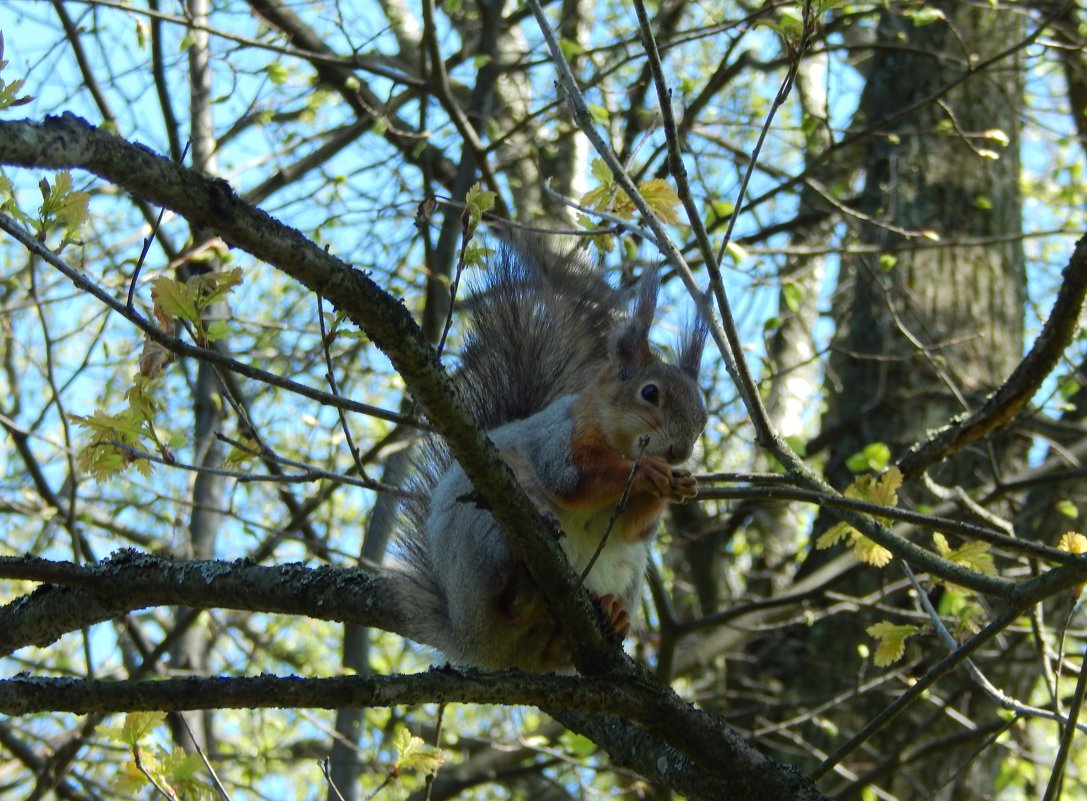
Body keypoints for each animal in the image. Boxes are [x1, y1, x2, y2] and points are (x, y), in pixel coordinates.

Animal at [386, 243, 708, 669]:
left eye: (703, 415)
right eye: (650, 392)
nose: (681, 450)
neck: (617, 441)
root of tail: (470, 639)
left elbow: (631, 529)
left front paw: (678, 484)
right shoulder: (556, 439)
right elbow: (571, 480)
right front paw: (646, 470)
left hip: (628, 571)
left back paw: (611, 614)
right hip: (485, 530)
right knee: (509, 599)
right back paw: (523, 588)